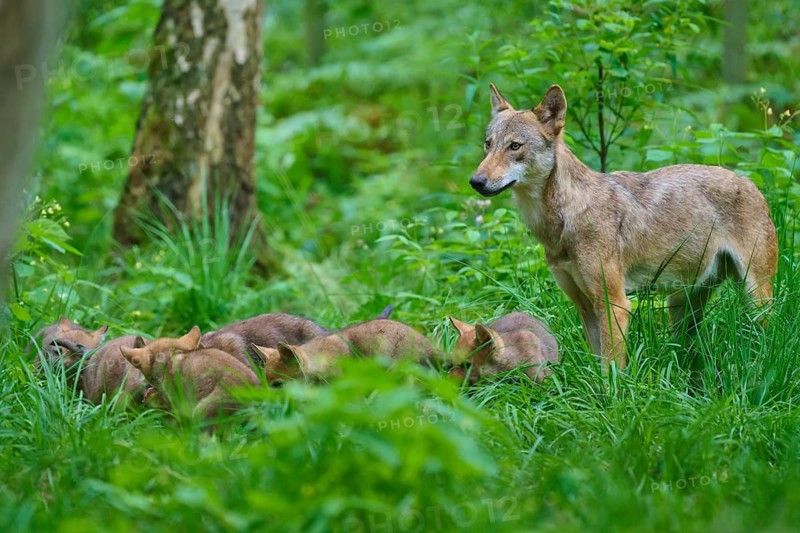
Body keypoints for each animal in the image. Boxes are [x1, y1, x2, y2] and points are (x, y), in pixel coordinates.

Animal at [471, 84, 777, 368]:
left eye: (515, 146)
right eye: (488, 144)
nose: (476, 181)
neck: (563, 220)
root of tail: (749, 182)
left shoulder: (614, 304)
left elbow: (611, 369)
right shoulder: (585, 305)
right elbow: (596, 364)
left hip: (755, 295)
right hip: (682, 306)